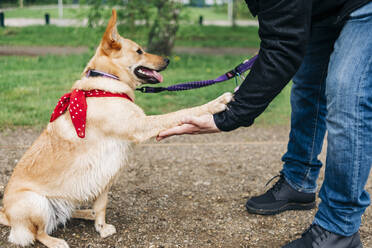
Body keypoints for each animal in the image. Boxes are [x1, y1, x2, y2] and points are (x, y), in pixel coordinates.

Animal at [0, 8, 232, 247]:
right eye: (139, 51)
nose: (167, 59)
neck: (106, 83)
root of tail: (5, 213)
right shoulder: (140, 126)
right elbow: (180, 113)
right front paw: (215, 103)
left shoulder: (105, 174)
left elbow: (102, 205)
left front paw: (101, 228)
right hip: (35, 202)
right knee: (37, 232)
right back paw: (55, 240)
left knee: (66, 215)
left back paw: (86, 213)